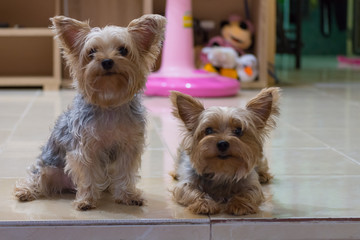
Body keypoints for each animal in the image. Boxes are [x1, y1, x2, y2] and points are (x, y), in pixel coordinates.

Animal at [13, 14, 167, 210]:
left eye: (123, 50)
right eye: (92, 52)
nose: (107, 61)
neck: (109, 101)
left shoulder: (128, 147)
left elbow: (125, 173)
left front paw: (127, 195)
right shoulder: (85, 148)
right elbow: (87, 174)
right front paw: (86, 200)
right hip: (49, 167)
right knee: (36, 176)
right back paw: (25, 191)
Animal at [170, 88, 280, 216]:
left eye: (238, 130)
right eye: (208, 130)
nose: (222, 143)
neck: (221, 170)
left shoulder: (252, 184)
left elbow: (249, 192)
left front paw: (239, 204)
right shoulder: (186, 183)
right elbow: (191, 191)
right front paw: (205, 204)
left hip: (260, 160)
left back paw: (263, 175)